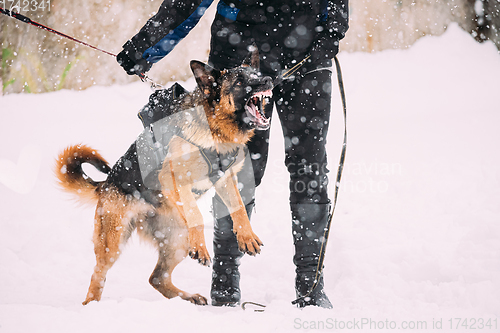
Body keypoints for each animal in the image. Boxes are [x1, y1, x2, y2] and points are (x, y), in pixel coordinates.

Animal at [56, 48, 274, 304]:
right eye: (239, 82)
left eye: (257, 74)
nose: (269, 80)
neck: (213, 130)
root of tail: (106, 183)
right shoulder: (174, 179)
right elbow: (196, 214)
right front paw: (203, 245)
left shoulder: (225, 180)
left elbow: (238, 207)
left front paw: (247, 236)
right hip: (113, 242)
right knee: (98, 274)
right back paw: (92, 305)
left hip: (178, 241)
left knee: (157, 278)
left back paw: (188, 297)